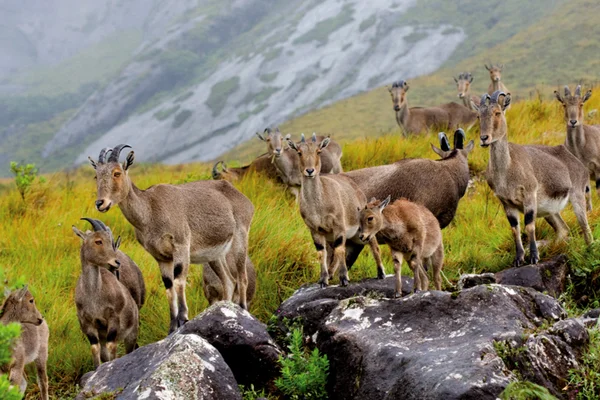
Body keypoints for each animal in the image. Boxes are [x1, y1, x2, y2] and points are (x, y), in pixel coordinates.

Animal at [476, 90, 592, 266]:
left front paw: (534, 257)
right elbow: (515, 228)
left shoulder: (529, 194)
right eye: (478, 115)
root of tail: (579, 164)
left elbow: (529, 226)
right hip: (549, 210)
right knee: (563, 229)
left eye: (497, 112)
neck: (507, 170)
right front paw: (518, 258)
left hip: (577, 194)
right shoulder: (506, 202)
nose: (484, 138)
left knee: (585, 228)